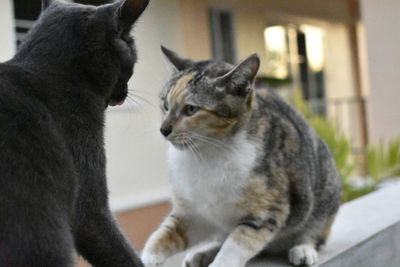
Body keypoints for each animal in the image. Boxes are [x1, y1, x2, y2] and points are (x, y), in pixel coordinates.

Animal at [140, 47, 340, 266]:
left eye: (191, 109)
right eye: (165, 105)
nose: (163, 129)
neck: (206, 153)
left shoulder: (266, 211)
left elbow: (236, 244)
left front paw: (221, 261)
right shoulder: (192, 214)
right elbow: (165, 234)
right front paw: (148, 257)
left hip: (325, 191)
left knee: (314, 232)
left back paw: (303, 249)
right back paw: (202, 254)